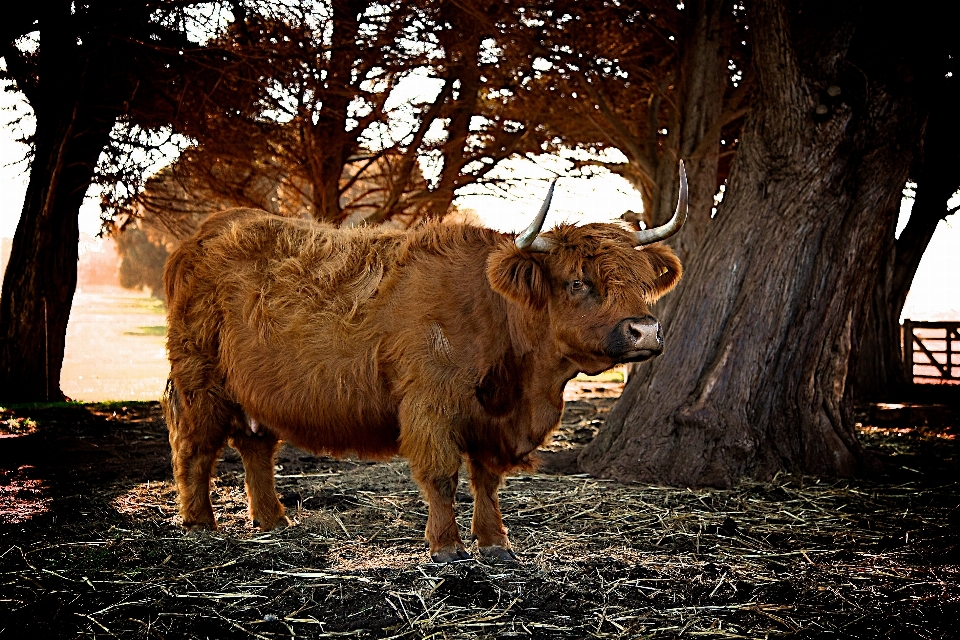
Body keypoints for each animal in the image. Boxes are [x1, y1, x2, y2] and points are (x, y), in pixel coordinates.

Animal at [167, 164, 688, 560]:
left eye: (641, 281)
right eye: (578, 281)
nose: (646, 331)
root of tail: (210, 228)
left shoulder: (491, 422)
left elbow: (487, 480)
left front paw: (495, 544)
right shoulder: (430, 402)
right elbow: (441, 475)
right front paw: (447, 548)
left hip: (251, 389)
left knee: (255, 446)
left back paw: (273, 520)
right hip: (199, 379)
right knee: (194, 447)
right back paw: (198, 522)